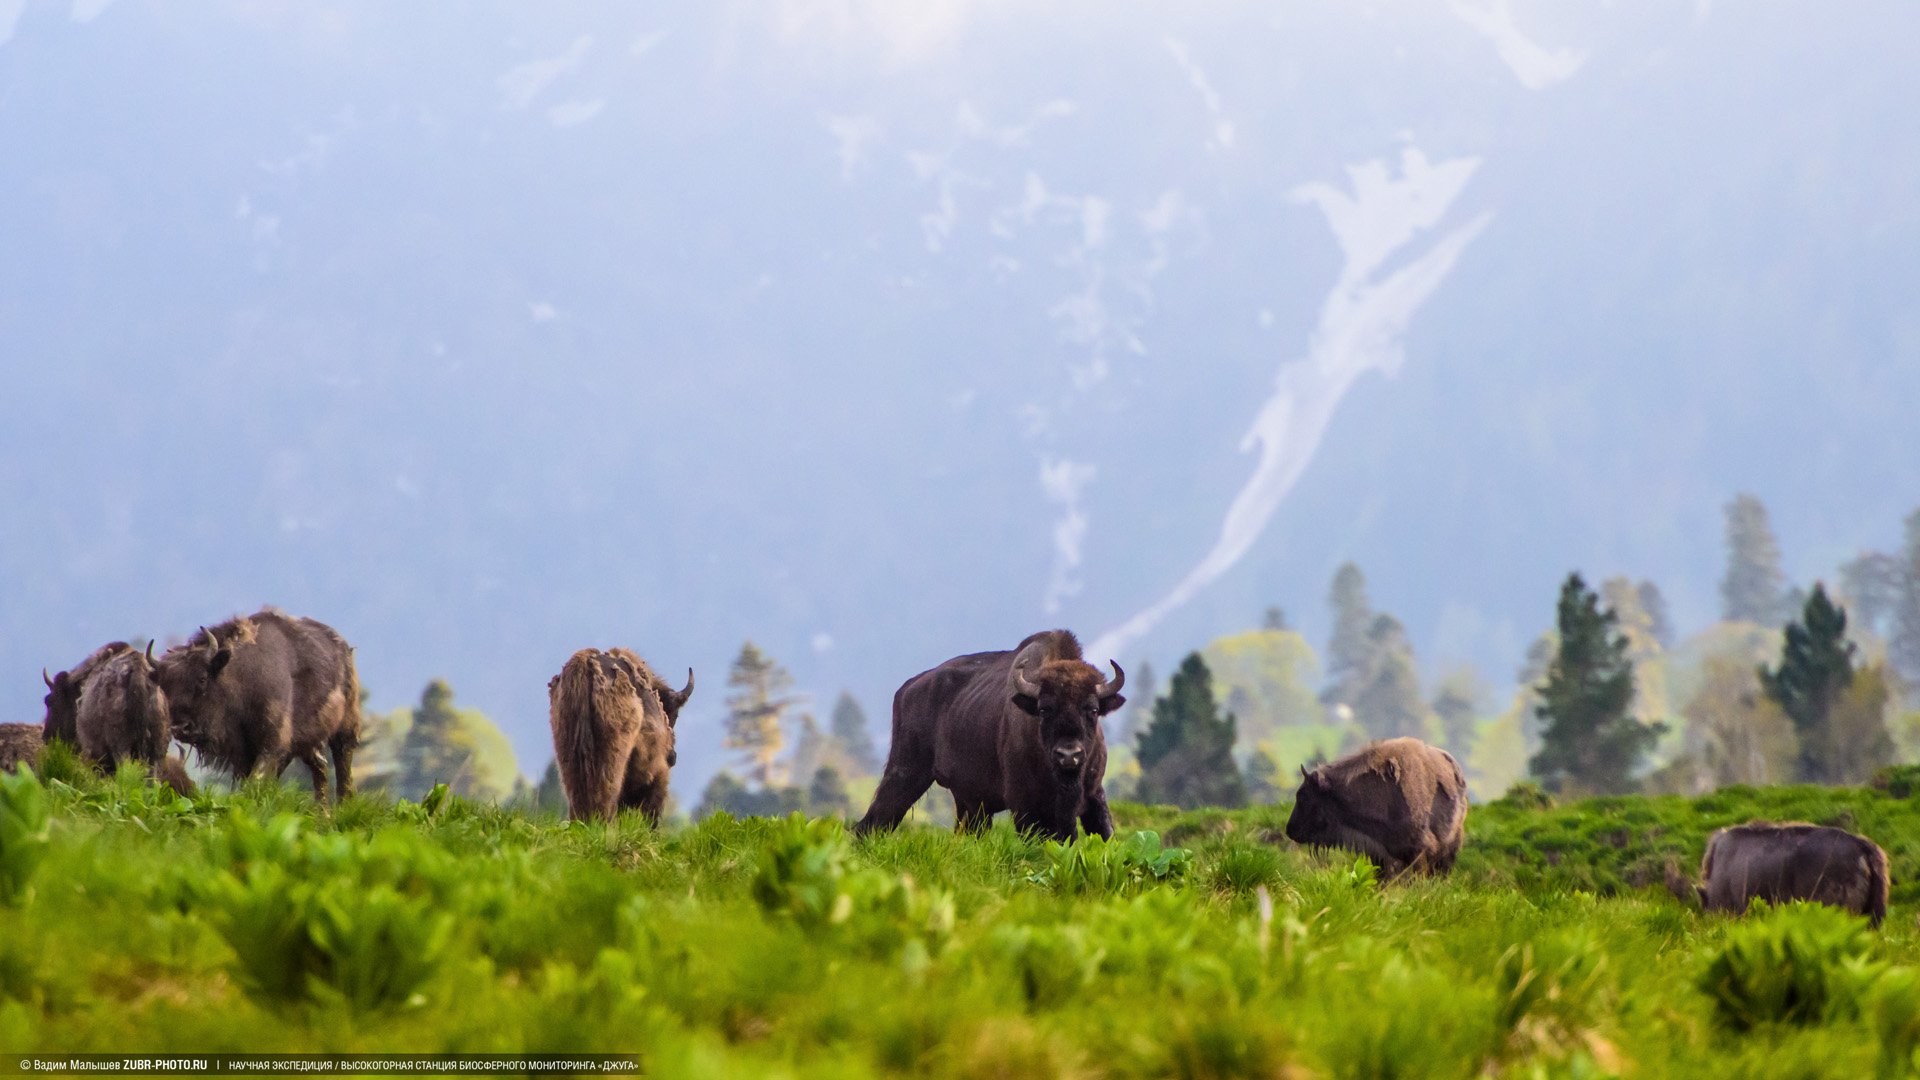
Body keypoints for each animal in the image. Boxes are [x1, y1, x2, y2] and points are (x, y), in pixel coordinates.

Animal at [153, 607, 362, 799]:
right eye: (165, 685)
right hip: (309, 740)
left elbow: (255, 780)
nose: (179, 727)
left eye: (202, 678)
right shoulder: (242, 752)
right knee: (320, 768)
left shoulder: (270, 745)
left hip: (345, 728)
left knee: (342, 763)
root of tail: (344, 648)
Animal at [856, 622, 1121, 841]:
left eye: (1093, 709)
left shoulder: (1093, 796)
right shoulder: (1024, 805)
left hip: (968, 803)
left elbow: (1105, 836)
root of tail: (908, 688)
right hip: (906, 772)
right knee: (873, 822)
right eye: (1044, 709)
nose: (1068, 755)